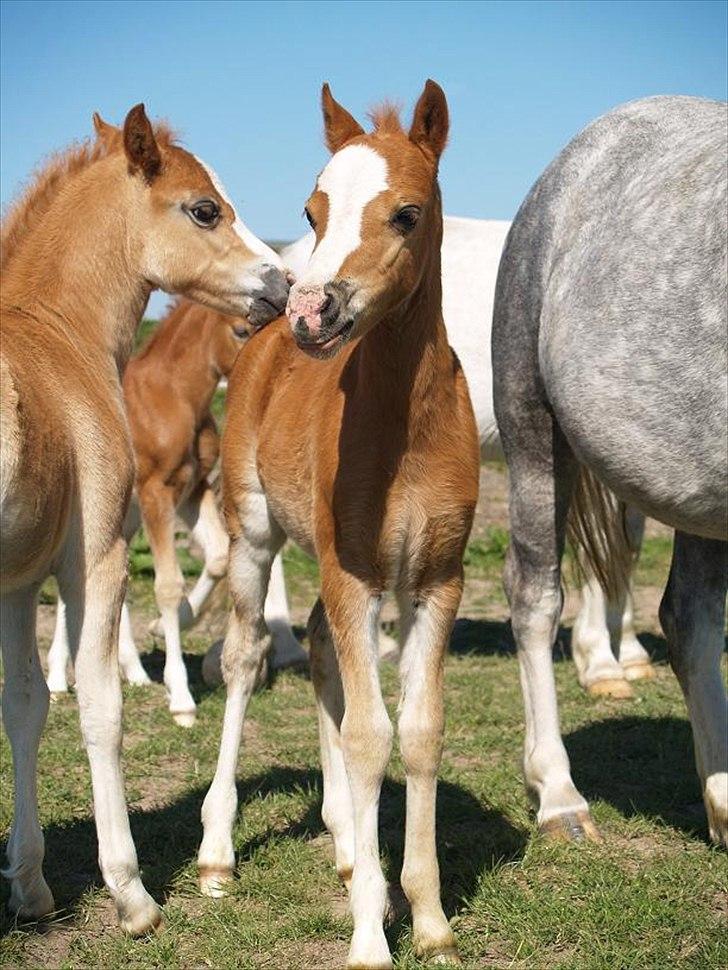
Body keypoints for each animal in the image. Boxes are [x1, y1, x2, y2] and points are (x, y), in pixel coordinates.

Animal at [0, 104, 290, 932]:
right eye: (205, 209)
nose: (282, 283)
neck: (56, 336)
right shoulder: (95, 551)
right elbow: (101, 709)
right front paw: (131, 893)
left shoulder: (17, 579)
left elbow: (25, 705)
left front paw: (30, 884)